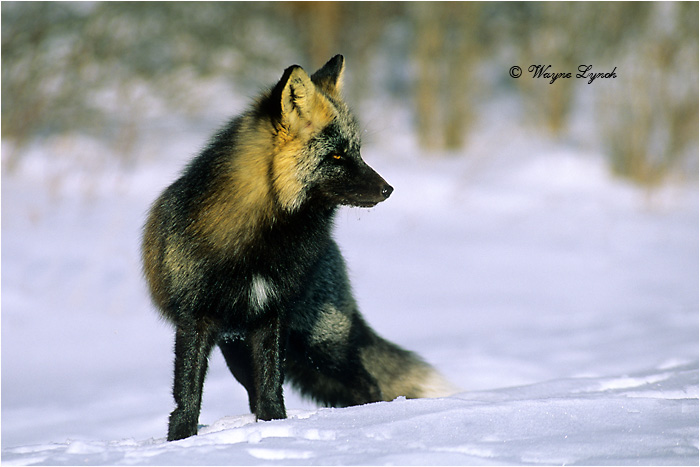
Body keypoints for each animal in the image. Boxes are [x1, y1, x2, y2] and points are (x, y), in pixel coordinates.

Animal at [142, 55, 456, 441]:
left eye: (357, 151)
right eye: (335, 157)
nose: (388, 189)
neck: (259, 243)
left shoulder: (272, 316)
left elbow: (270, 389)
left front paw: (275, 429)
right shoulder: (195, 319)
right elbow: (188, 392)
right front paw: (182, 440)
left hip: (320, 345)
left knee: (367, 384)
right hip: (241, 350)